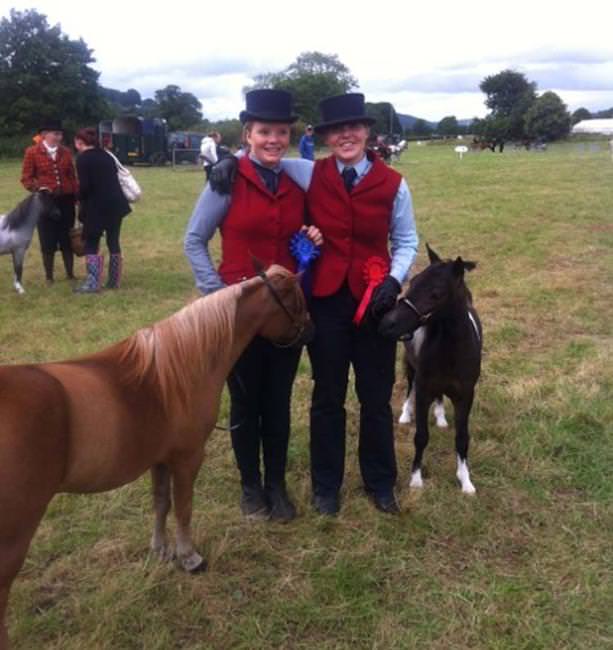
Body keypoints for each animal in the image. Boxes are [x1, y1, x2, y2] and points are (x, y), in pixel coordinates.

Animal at [0, 264, 310, 648]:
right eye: (298, 301)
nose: (310, 331)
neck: (180, 367)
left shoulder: (160, 459)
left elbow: (161, 503)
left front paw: (160, 550)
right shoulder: (188, 458)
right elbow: (184, 508)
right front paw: (188, 558)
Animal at [378, 243, 482, 492]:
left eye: (437, 293)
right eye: (413, 281)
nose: (388, 324)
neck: (451, 349)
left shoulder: (466, 395)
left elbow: (462, 438)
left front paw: (465, 481)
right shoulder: (424, 391)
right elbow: (421, 436)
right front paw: (416, 480)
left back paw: (441, 417)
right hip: (411, 368)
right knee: (410, 387)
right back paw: (406, 414)